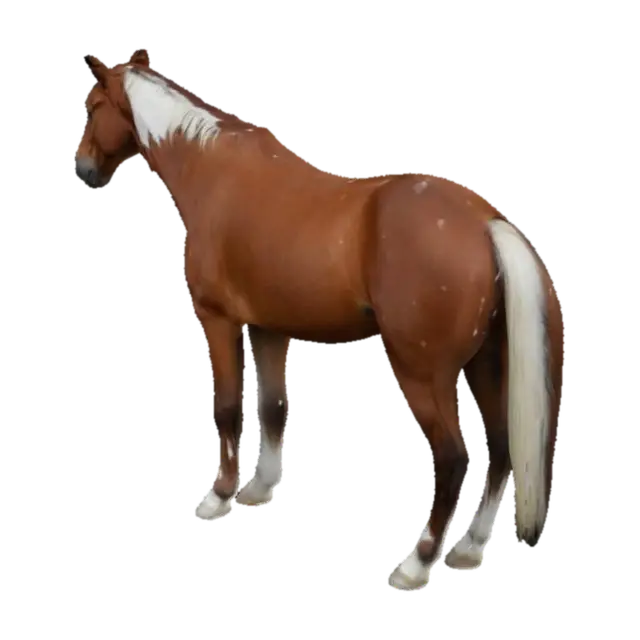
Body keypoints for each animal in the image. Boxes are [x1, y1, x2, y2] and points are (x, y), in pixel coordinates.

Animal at [73, 49, 566, 592]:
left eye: (92, 107)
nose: (83, 167)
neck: (212, 168)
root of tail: (484, 223)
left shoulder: (219, 320)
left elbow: (227, 405)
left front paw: (218, 498)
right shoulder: (268, 328)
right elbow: (272, 407)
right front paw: (258, 489)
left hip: (422, 373)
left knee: (453, 456)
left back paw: (416, 564)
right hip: (486, 365)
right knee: (499, 446)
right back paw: (470, 548)